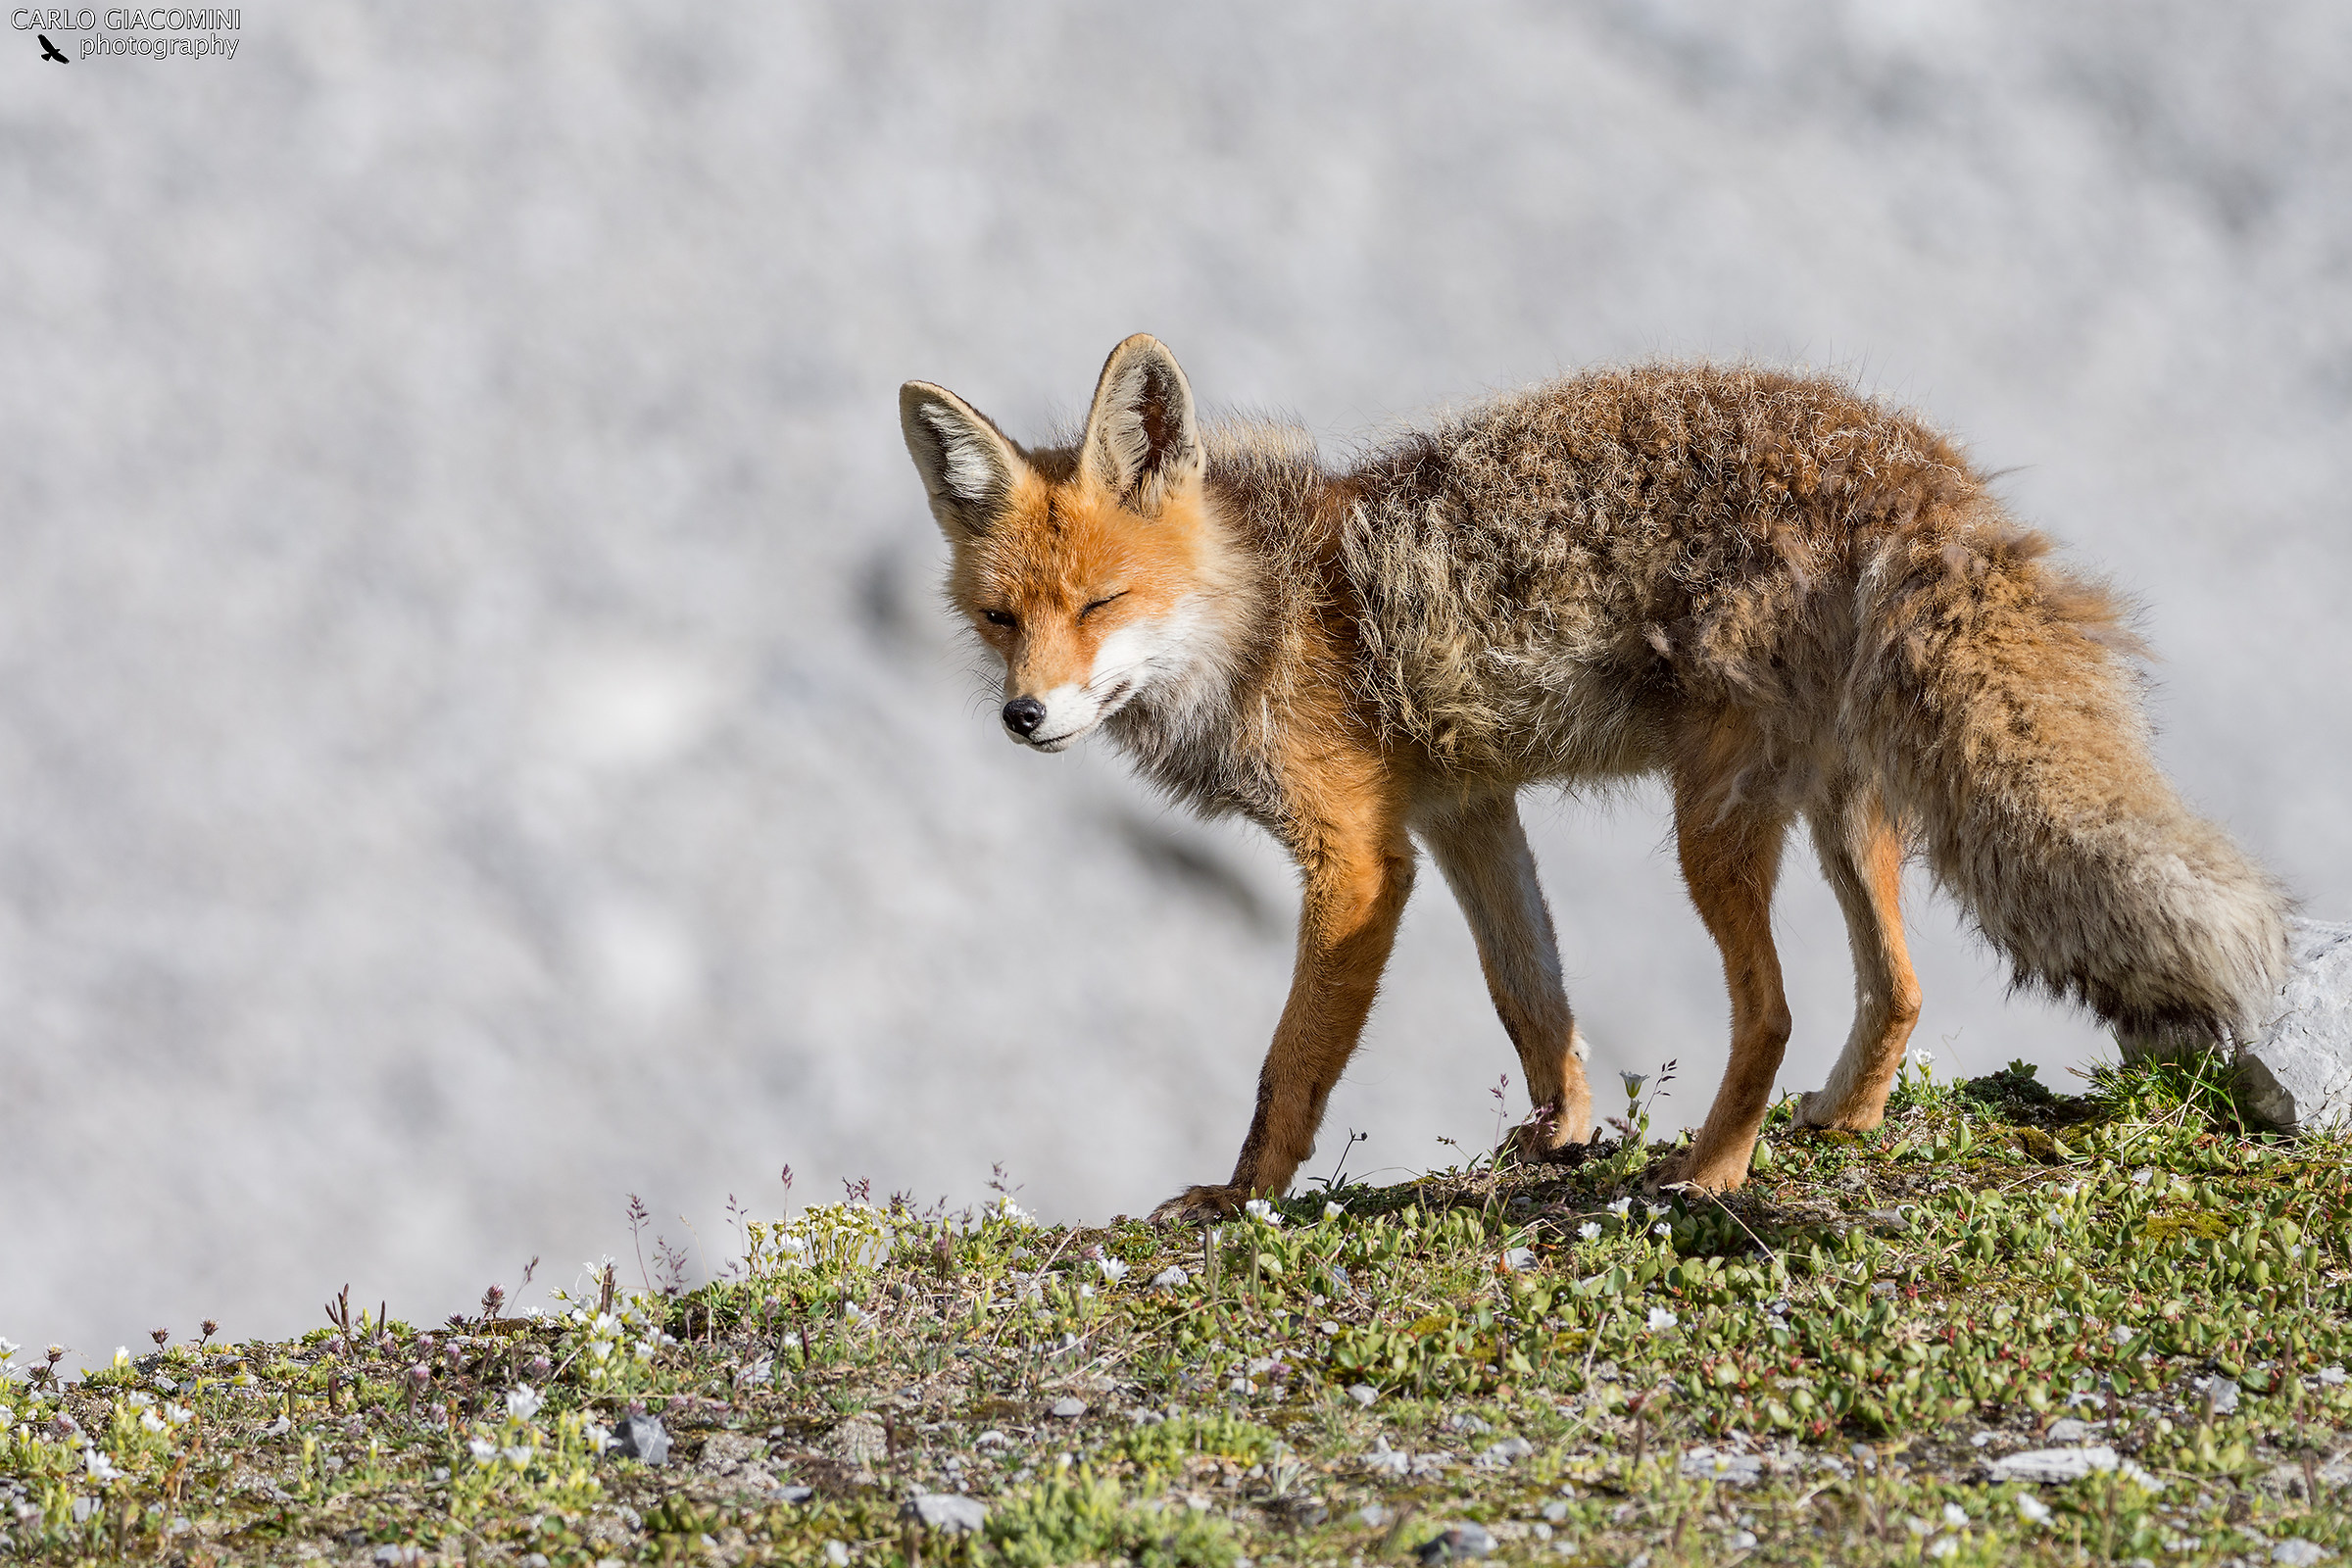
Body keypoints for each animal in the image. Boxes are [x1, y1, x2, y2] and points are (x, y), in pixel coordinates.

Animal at [898, 334, 2288, 1221]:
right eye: (1001, 620)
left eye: (1101, 604)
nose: (1025, 716)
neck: (1274, 614)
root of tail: (1914, 467)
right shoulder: (1465, 813)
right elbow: (1534, 996)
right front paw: (1562, 1135)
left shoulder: (1359, 860)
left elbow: (1289, 1068)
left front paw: (1241, 1196)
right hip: (1841, 814)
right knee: (1895, 988)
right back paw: (1837, 1125)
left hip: (1712, 825)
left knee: (1772, 1012)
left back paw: (1710, 1180)